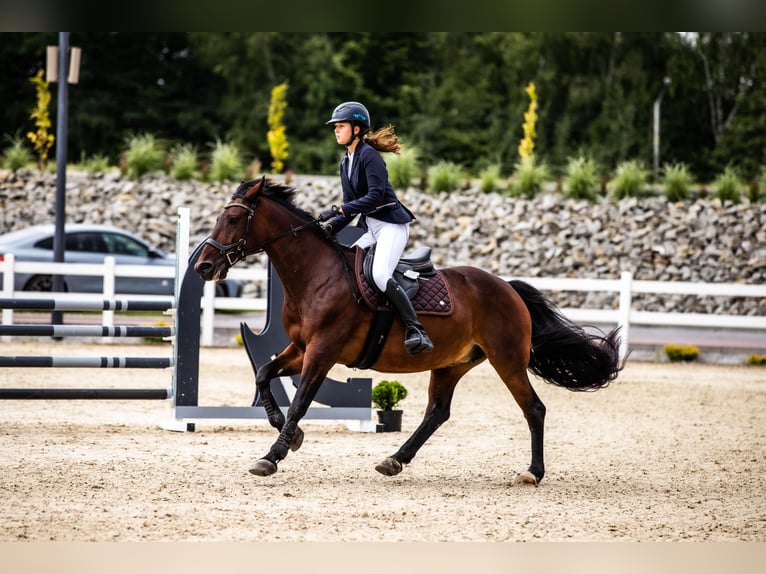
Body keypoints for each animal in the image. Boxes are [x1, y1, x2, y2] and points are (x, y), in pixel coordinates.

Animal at [195, 179, 628, 486]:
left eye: (232, 219)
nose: (203, 266)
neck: (316, 275)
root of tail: (506, 287)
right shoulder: (302, 347)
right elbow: (264, 374)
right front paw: (289, 434)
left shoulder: (323, 350)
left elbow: (301, 400)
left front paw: (272, 455)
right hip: (452, 363)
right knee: (437, 412)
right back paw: (395, 460)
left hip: (506, 359)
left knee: (532, 408)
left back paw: (532, 472)